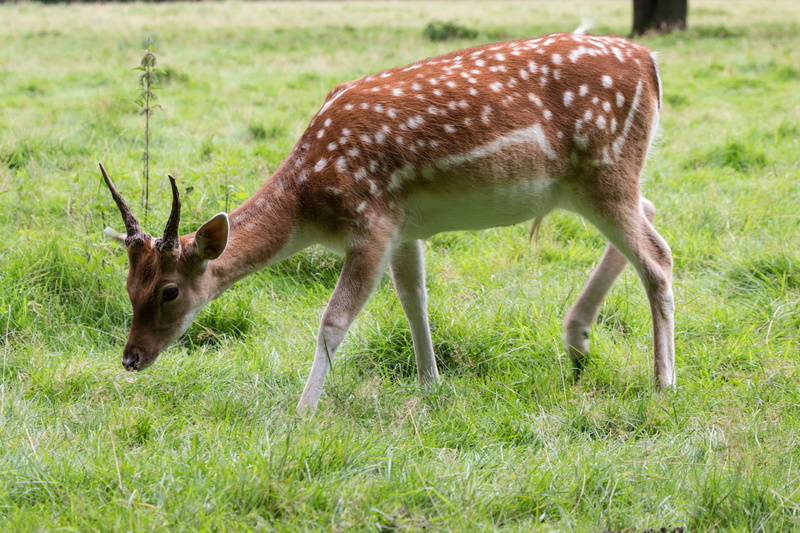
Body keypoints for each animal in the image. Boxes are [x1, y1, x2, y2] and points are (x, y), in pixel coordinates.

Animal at [101, 32, 674, 411]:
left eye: (170, 291)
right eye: (128, 285)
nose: (130, 358)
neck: (311, 203)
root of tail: (650, 62)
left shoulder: (371, 224)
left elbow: (333, 322)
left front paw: (301, 413)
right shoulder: (404, 228)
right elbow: (413, 298)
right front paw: (430, 384)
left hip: (605, 167)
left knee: (658, 255)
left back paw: (663, 382)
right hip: (590, 183)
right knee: (647, 215)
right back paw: (576, 342)